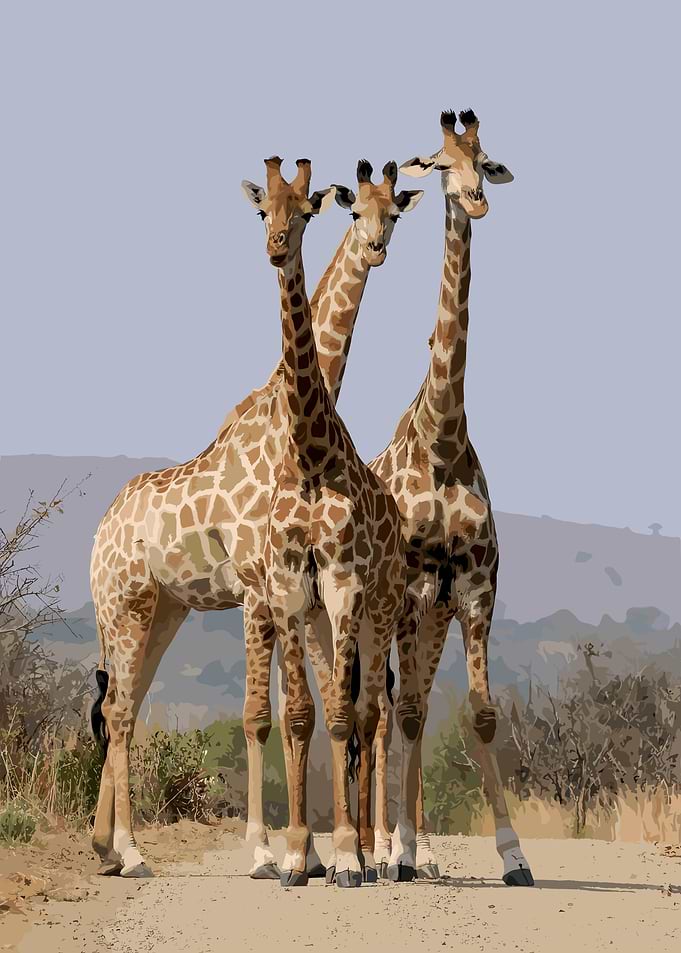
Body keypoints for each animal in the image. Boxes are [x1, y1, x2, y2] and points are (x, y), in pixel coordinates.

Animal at [88, 158, 421, 881]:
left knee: (123, 703)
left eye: (395, 213)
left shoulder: (294, 591)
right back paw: (131, 851)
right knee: (120, 710)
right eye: (355, 212)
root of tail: (98, 532)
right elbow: (258, 715)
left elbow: (308, 708)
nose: (376, 249)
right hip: (123, 605)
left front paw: (316, 855)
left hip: (163, 608)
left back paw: (106, 845)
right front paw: (269, 851)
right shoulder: (256, 586)